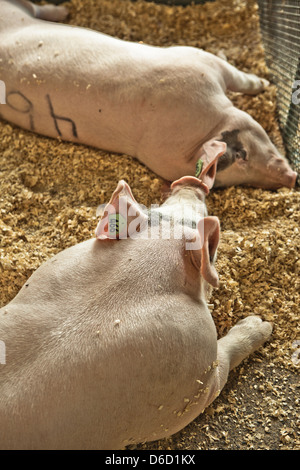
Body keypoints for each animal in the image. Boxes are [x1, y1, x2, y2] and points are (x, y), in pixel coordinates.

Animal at [0, 146, 274, 448]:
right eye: (212, 251)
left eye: (155, 210)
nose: (191, 183)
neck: (140, 268)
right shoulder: (198, 376)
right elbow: (224, 359)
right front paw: (262, 323)